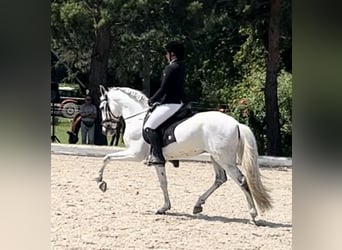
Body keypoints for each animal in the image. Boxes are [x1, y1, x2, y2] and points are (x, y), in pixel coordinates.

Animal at [96, 85, 272, 222]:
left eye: (102, 107)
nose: (106, 129)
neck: (138, 118)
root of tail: (236, 123)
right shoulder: (157, 160)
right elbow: (163, 182)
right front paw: (164, 207)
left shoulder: (134, 154)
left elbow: (107, 157)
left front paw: (100, 182)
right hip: (215, 157)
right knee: (220, 179)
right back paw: (198, 205)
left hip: (225, 160)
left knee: (241, 180)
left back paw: (253, 215)